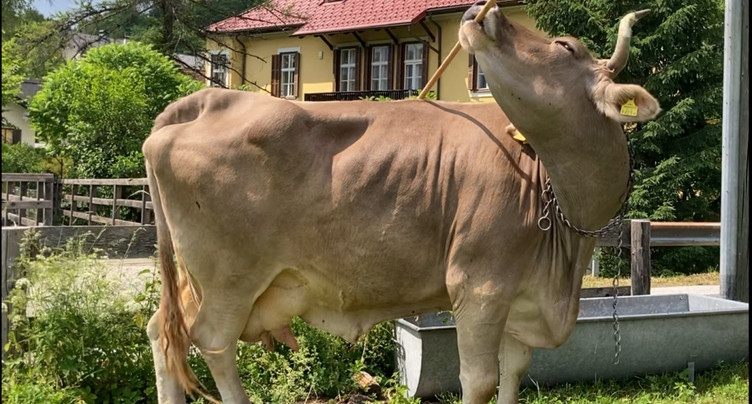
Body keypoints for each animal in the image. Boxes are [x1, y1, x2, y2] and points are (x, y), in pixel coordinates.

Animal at [143, 3, 660, 404]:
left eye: (565, 47)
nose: (483, 11)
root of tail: (207, 100)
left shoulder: (523, 302)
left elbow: (513, 373)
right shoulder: (480, 286)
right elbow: (478, 381)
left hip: (197, 281)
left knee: (165, 336)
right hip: (230, 278)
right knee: (213, 344)